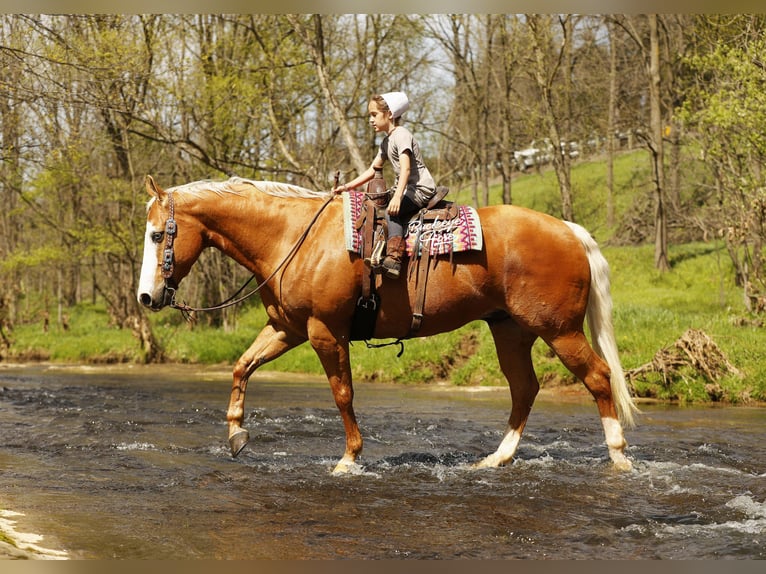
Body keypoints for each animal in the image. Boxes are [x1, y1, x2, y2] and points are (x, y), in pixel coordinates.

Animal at [137, 175, 638, 473]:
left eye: (158, 234)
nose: (147, 296)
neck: (293, 238)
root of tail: (570, 230)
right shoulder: (287, 329)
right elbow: (242, 365)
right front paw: (237, 434)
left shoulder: (325, 332)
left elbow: (342, 394)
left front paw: (349, 459)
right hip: (510, 330)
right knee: (525, 389)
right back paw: (497, 458)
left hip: (560, 330)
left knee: (598, 377)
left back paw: (618, 457)